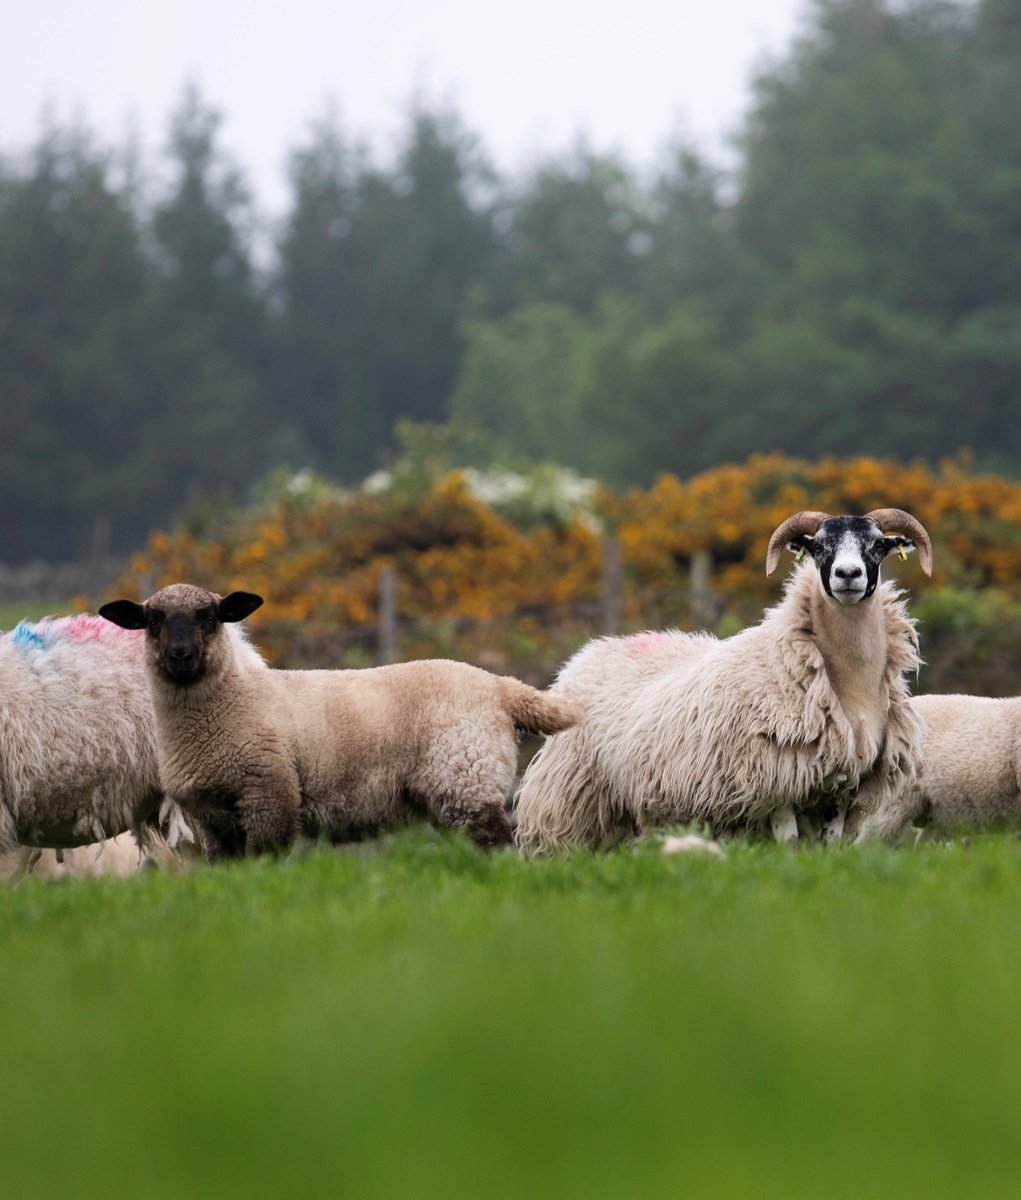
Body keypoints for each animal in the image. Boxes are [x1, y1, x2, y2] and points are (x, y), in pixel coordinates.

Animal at [98, 583, 581, 859]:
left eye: (210, 617)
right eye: (152, 621)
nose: (181, 655)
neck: (234, 701)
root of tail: (500, 687)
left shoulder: (269, 792)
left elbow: (265, 860)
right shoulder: (211, 817)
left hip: (465, 775)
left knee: (498, 846)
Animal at [514, 509, 932, 853]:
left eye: (877, 544)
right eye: (818, 546)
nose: (848, 575)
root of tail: (588, 654)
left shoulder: (842, 782)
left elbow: (830, 846)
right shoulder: (772, 777)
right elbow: (789, 843)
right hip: (572, 799)